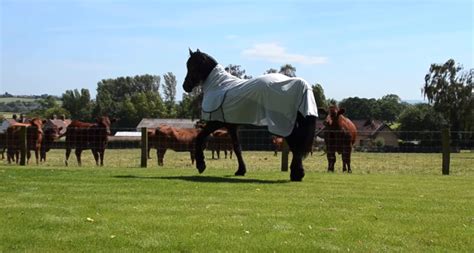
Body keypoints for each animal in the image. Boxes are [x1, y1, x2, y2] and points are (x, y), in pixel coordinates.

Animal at [183, 48, 316, 181]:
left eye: (193, 66)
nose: (185, 86)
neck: (220, 85)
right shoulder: (231, 125)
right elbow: (237, 148)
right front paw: (240, 170)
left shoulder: (217, 121)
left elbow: (199, 137)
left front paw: (201, 165)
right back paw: (297, 173)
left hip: (284, 124)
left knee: (295, 145)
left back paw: (297, 174)